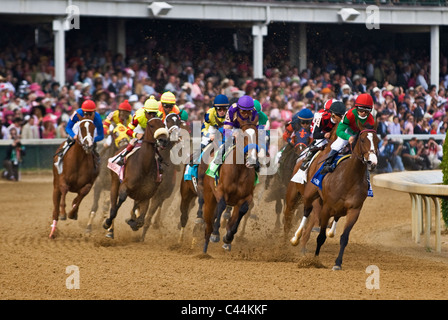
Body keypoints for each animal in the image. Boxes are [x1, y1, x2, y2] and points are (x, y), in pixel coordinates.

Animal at [202, 117, 262, 252]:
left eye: (257, 135)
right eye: (242, 136)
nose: (252, 160)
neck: (239, 170)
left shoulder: (247, 197)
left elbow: (241, 212)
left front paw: (228, 237)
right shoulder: (220, 191)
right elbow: (221, 205)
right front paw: (215, 234)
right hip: (209, 195)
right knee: (208, 221)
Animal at [290, 124, 378, 268]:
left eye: (377, 140)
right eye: (363, 140)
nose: (372, 162)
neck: (349, 178)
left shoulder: (354, 210)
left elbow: (344, 237)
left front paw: (338, 263)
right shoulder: (326, 208)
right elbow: (320, 237)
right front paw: (315, 260)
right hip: (308, 195)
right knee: (306, 211)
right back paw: (295, 238)